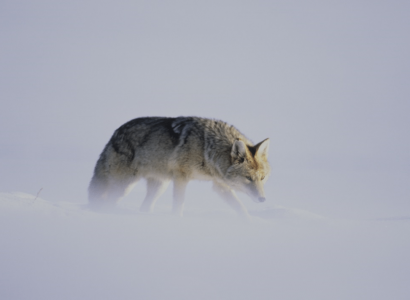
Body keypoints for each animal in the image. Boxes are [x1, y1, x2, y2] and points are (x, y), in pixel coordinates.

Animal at [88, 116, 270, 217]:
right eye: (248, 178)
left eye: (262, 178)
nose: (263, 199)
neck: (207, 148)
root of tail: (114, 134)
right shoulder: (181, 177)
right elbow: (179, 204)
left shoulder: (219, 185)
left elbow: (240, 207)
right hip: (124, 187)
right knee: (105, 202)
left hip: (159, 186)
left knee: (144, 208)